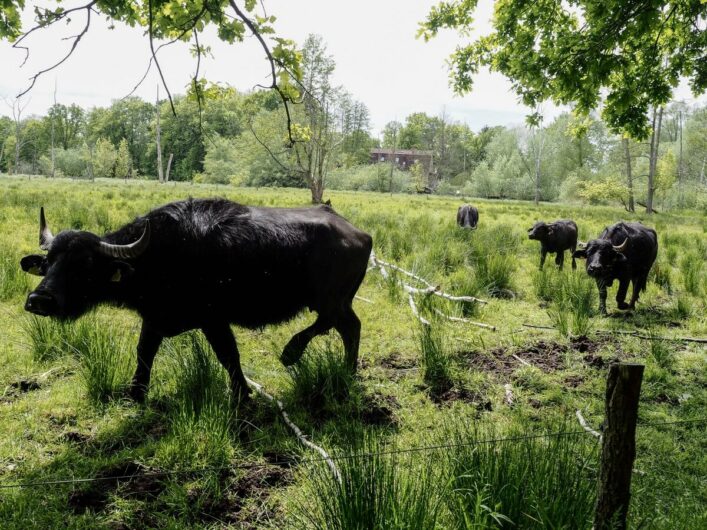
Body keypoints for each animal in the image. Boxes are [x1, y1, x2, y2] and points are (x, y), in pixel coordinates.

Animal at [20, 198, 376, 400]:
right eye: (49, 261)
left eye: (83, 266)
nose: (39, 299)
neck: (158, 254)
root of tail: (360, 234)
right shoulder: (154, 318)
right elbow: (144, 353)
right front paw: (136, 392)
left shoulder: (213, 319)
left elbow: (228, 355)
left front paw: (241, 393)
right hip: (336, 301)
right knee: (345, 327)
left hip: (331, 300)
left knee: (342, 325)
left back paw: (297, 354)